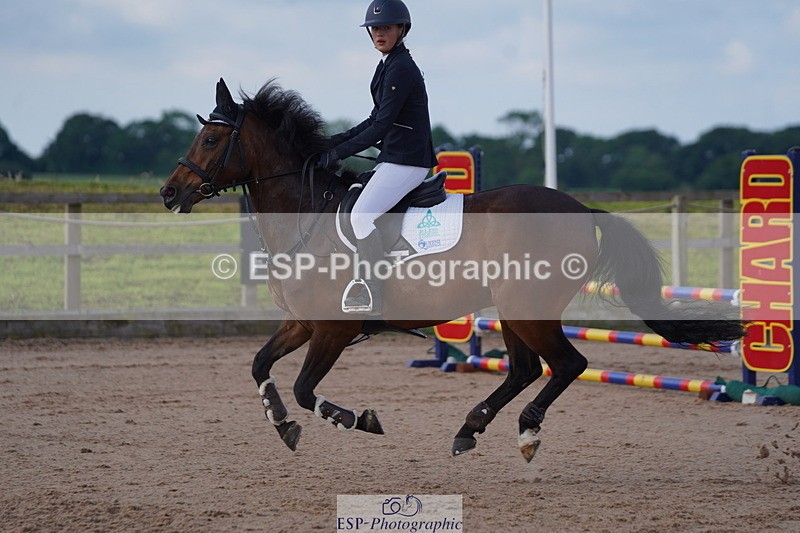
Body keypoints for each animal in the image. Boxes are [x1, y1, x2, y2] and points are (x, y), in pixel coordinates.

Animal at [160, 78, 744, 462]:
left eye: (210, 139)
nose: (169, 193)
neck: (308, 213)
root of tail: (580, 209)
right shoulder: (301, 323)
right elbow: (260, 365)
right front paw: (282, 425)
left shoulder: (332, 328)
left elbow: (306, 388)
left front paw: (357, 419)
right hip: (512, 310)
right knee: (526, 369)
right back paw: (470, 429)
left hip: (527, 309)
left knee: (566, 364)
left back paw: (526, 432)